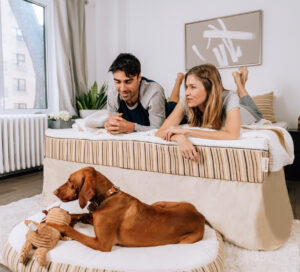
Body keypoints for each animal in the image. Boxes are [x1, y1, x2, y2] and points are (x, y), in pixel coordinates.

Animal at [51, 167, 206, 252]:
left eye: (70, 181)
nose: (54, 191)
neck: (107, 197)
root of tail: (200, 216)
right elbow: (79, 214)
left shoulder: (102, 244)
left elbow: (72, 230)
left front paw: (54, 224)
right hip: (160, 203)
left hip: (186, 241)